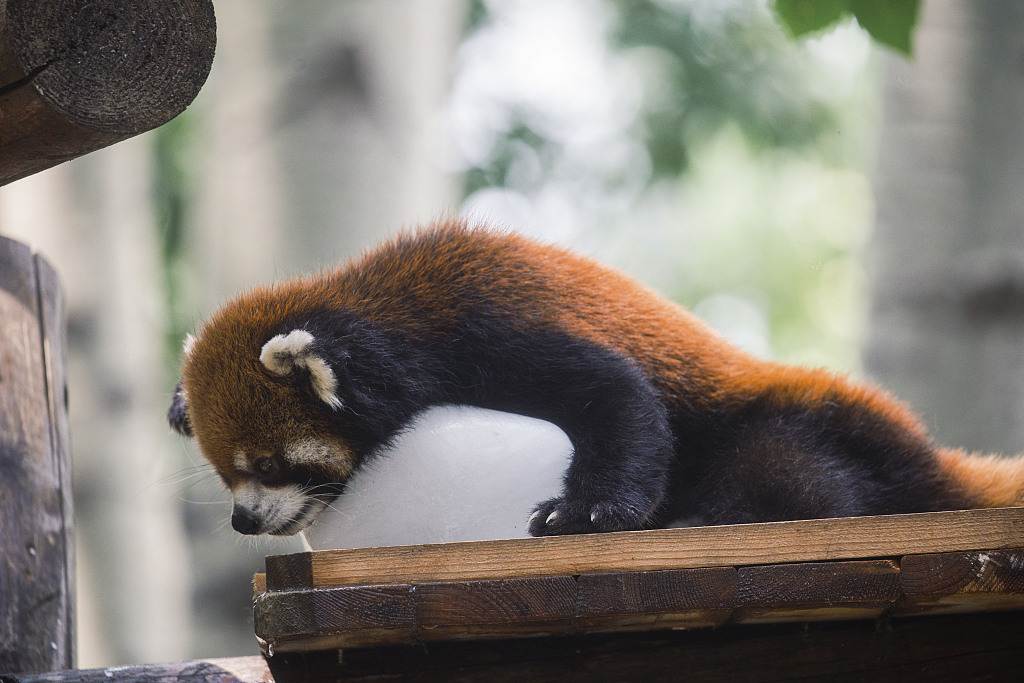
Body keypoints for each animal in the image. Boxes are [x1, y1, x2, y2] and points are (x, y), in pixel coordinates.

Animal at [167, 222, 1024, 536]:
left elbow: (619, 397)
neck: (387, 304)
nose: (243, 521)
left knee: (795, 478)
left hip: (791, 423)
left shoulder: (484, 326)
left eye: (269, 463)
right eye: (224, 475)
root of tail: (925, 452)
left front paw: (584, 510)